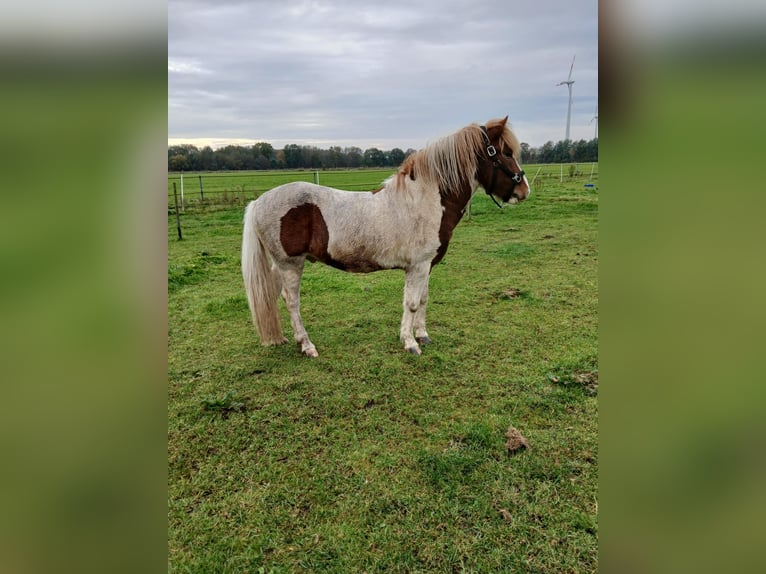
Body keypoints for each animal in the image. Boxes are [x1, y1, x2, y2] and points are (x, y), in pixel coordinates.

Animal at [243, 117, 532, 358]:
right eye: (505, 153)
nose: (524, 190)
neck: (426, 200)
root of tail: (259, 202)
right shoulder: (417, 267)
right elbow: (412, 303)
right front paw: (410, 343)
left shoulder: (427, 266)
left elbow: (423, 300)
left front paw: (422, 336)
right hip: (291, 264)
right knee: (291, 301)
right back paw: (307, 345)